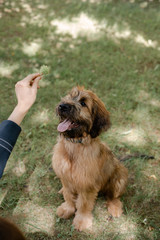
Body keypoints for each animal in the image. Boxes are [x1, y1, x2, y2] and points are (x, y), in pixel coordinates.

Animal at [52, 86, 128, 231]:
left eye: (83, 103)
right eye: (69, 96)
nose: (62, 106)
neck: (75, 145)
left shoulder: (87, 183)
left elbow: (84, 204)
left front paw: (81, 221)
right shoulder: (66, 176)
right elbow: (68, 195)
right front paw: (67, 209)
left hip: (119, 177)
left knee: (113, 196)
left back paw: (114, 207)